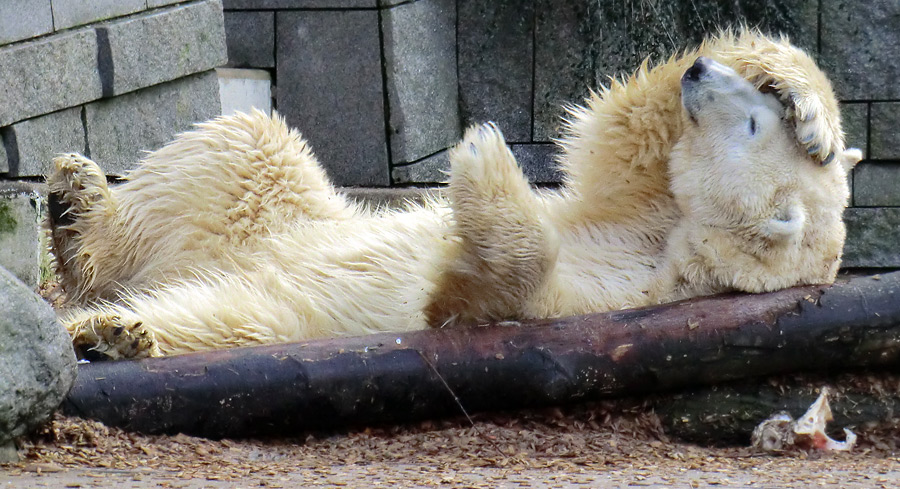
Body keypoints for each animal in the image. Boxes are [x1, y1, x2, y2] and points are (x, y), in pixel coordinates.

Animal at [45, 30, 860, 358]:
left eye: (749, 124)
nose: (702, 75)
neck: (675, 249)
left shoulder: (621, 300)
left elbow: (487, 300)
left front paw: (484, 161)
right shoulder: (631, 217)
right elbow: (623, 140)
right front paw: (803, 99)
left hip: (279, 313)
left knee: (217, 319)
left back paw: (112, 329)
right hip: (262, 212)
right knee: (241, 144)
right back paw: (78, 209)